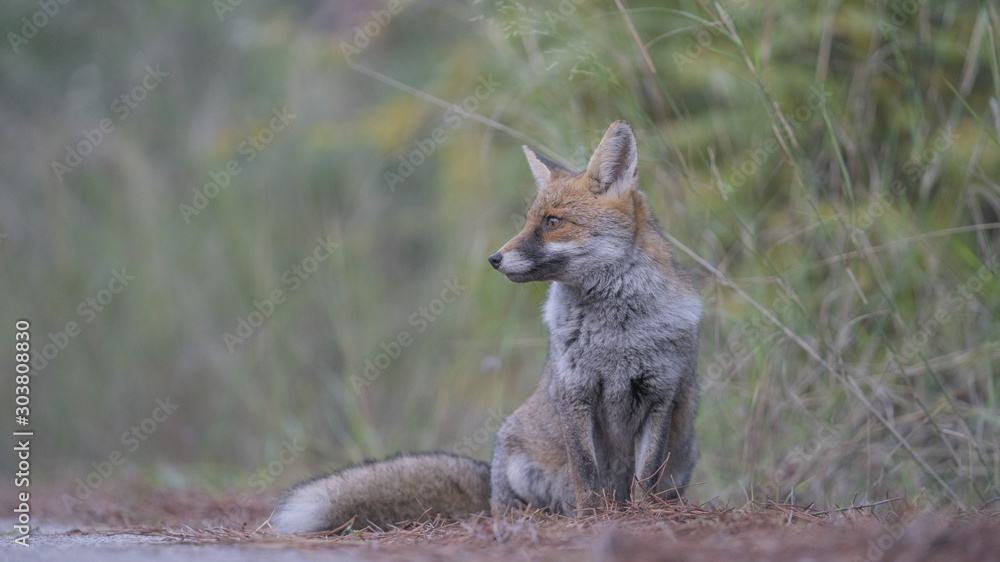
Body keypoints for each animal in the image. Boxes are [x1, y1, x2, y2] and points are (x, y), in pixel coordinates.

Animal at [271, 120, 702, 534]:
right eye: (528, 222)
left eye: (553, 222)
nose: (494, 258)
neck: (616, 334)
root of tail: (490, 481)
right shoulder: (574, 395)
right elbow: (585, 474)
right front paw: (592, 518)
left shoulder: (659, 397)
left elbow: (645, 479)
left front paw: (642, 515)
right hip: (517, 467)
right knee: (517, 506)